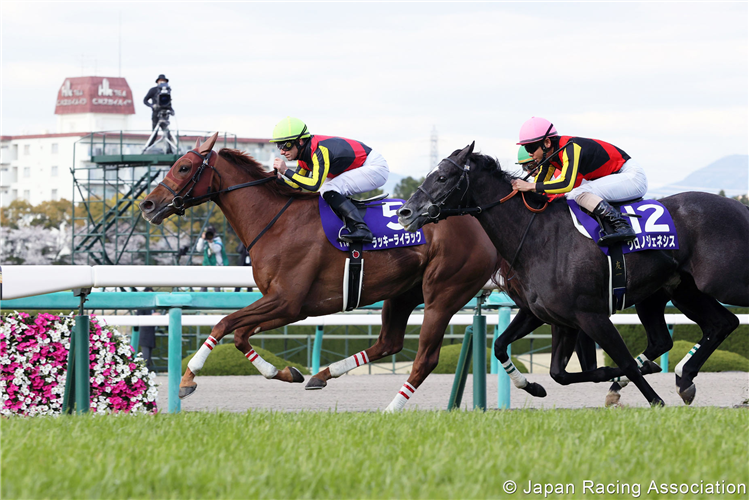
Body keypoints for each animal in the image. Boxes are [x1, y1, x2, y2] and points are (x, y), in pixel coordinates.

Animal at [140, 133, 502, 410]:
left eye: (184, 167)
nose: (147, 205)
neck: (276, 222)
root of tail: (480, 226)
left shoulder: (287, 301)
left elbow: (224, 323)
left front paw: (188, 378)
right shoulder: (290, 307)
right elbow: (240, 334)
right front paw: (287, 373)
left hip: (442, 294)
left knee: (425, 358)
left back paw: (391, 408)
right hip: (402, 293)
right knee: (388, 343)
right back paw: (321, 375)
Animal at [404, 142, 748, 406]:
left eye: (442, 177)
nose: (406, 212)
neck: (539, 237)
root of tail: (740, 207)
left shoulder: (590, 315)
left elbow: (623, 362)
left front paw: (654, 399)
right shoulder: (551, 315)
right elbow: (530, 360)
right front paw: (533, 386)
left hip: (725, 282)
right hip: (680, 291)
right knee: (719, 324)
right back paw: (684, 378)